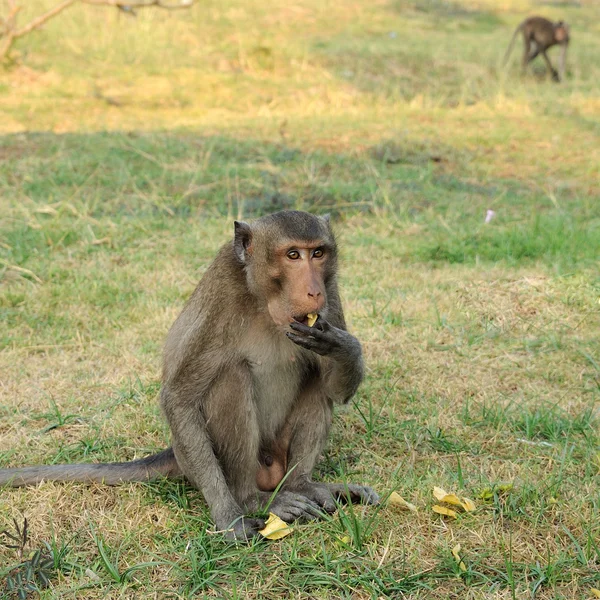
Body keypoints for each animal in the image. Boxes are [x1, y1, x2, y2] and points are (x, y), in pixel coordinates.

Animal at [0, 212, 380, 544]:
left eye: (318, 253)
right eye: (292, 255)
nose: (314, 292)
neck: (265, 301)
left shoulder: (331, 297)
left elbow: (334, 388)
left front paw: (343, 346)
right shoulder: (221, 298)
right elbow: (180, 398)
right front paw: (228, 517)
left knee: (316, 384)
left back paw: (302, 485)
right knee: (232, 377)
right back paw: (251, 499)